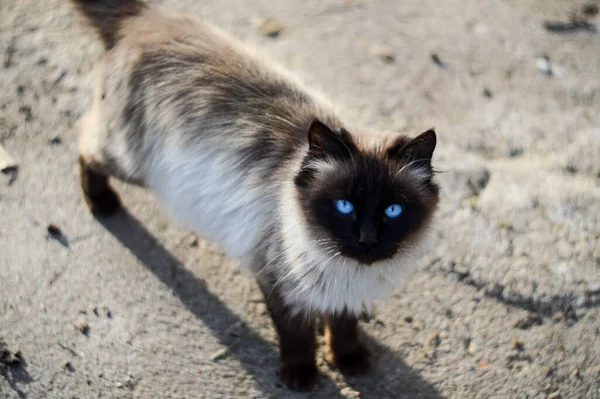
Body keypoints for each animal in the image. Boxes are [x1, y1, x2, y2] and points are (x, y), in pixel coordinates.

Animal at [72, 0, 440, 390]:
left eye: (393, 210)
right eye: (344, 206)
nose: (367, 239)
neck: (348, 272)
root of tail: (146, 18)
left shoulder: (343, 297)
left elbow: (343, 327)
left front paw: (348, 360)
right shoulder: (278, 281)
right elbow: (296, 336)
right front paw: (301, 375)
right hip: (130, 162)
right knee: (83, 140)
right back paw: (102, 203)